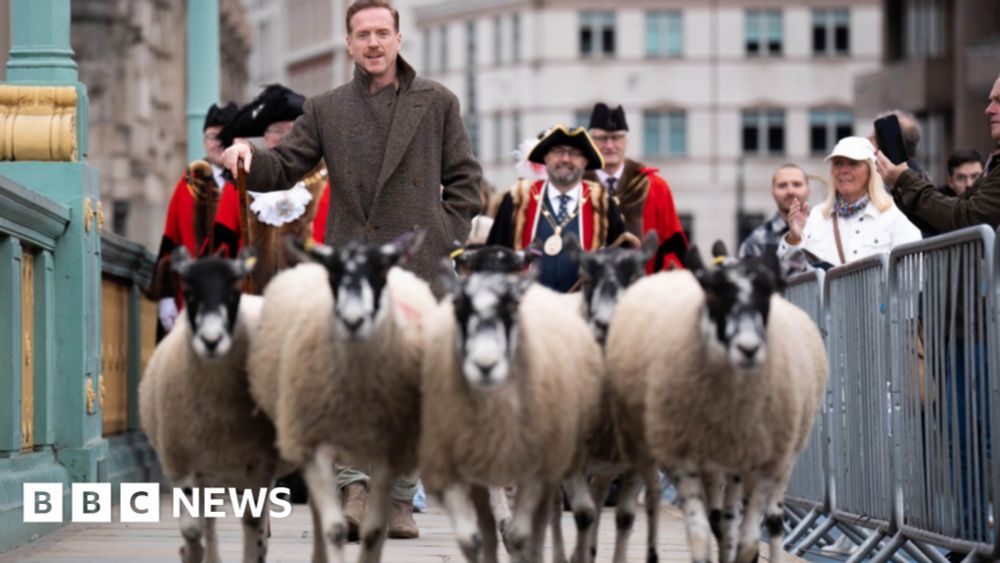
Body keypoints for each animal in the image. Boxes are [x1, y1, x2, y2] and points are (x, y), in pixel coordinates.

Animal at [136, 249, 278, 563]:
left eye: (234, 291)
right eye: (188, 292)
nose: (211, 340)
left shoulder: (256, 466)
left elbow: (252, 521)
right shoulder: (185, 465)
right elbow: (192, 527)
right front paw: (191, 551)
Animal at [246, 236, 434, 563]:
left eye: (380, 273)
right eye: (333, 276)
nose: (353, 320)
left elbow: (374, 530)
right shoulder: (315, 444)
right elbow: (333, 524)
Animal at [604, 246, 832, 563]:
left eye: (767, 295)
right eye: (713, 295)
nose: (748, 348)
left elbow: (745, 531)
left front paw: (746, 552)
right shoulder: (686, 457)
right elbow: (707, 526)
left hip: (780, 457)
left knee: (772, 519)